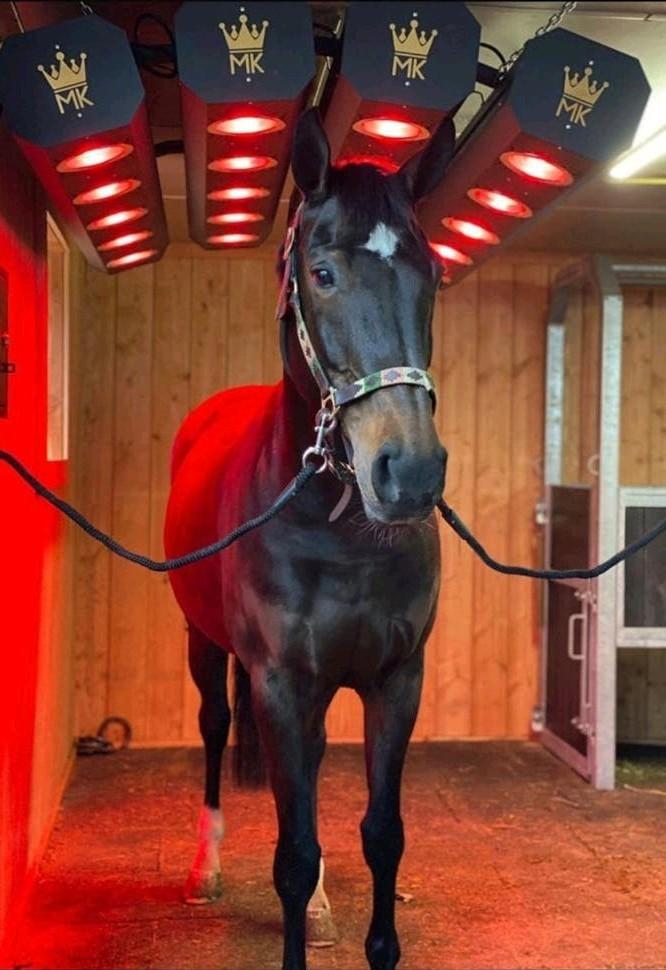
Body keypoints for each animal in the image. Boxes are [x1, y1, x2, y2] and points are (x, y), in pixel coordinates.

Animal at [164, 107, 453, 970]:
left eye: (432, 276)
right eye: (321, 273)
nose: (410, 472)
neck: (339, 531)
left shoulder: (395, 681)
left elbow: (382, 836)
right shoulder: (280, 682)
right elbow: (291, 855)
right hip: (204, 645)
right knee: (215, 732)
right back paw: (205, 870)